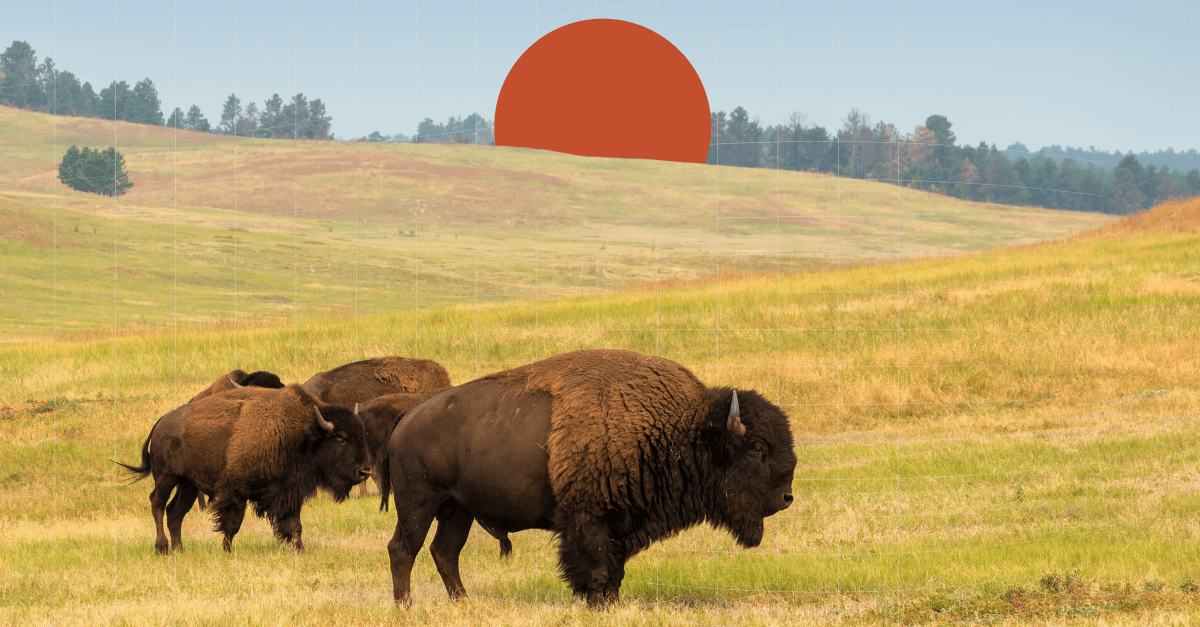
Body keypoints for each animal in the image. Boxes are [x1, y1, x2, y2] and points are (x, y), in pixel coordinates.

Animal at [118, 384, 371, 554]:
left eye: (362, 435)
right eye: (340, 438)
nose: (365, 472)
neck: (303, 434)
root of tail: (161, 423)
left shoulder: (289, 493)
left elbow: (294, 525)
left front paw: (300, 550)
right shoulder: (235, 493)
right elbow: (232, 525)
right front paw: (227, 551)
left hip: (188, 485)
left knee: (175, 512)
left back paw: (179, 549)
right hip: (166, 477)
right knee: (157, 504)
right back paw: (162, 548)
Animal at [379, 349, 796, 608]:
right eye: (758, 448)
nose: (786, 497)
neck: (679, 428)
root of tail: (408, 416)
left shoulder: (622, 523)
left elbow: (616, 568)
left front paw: (612, 603)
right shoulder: (589, 519)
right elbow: (595, 565)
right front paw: (598, 604)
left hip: (458, 509)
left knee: (444, 551)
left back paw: (463, 602)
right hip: (418, 503)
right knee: (403, 548)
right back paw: (406, 607)